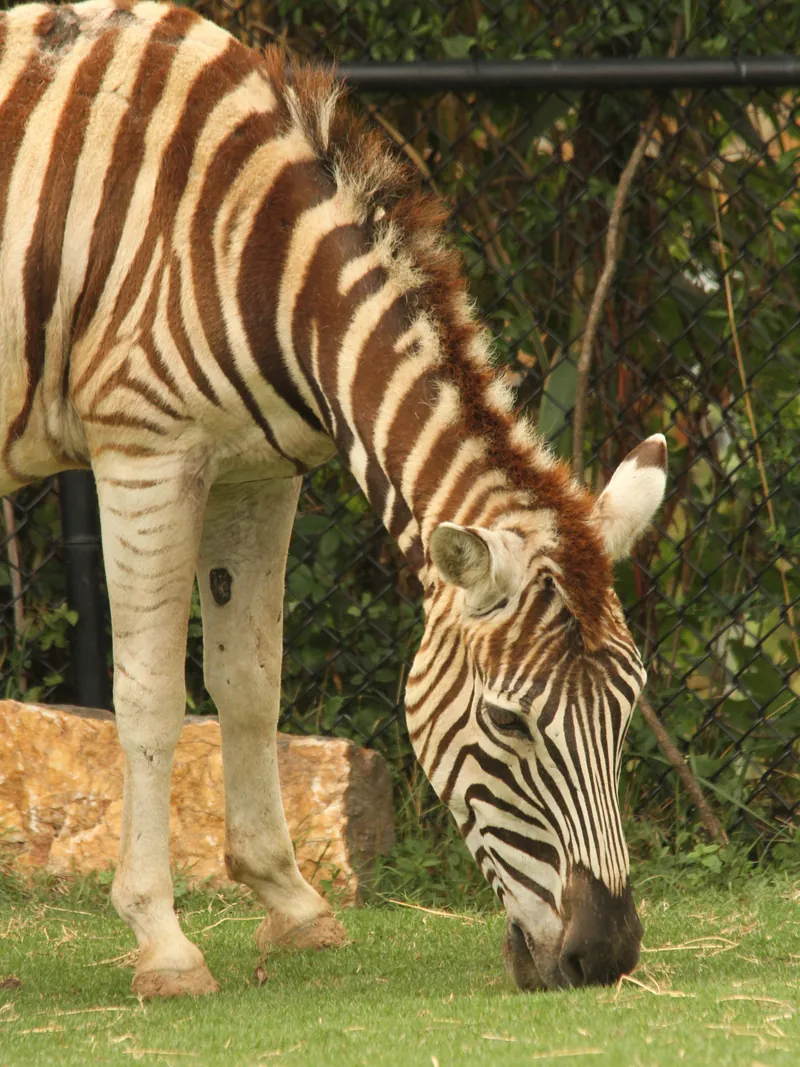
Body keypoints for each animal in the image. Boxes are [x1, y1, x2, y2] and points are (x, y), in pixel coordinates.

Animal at [0, 1, 667, 997]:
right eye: (509, 720)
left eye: (628, 706)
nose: (606, 954)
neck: (256, 250)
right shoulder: (144, 454)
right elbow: (150, 697)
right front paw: (164, 943)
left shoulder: (257, 470)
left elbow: (249, 682)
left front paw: (293, 904)